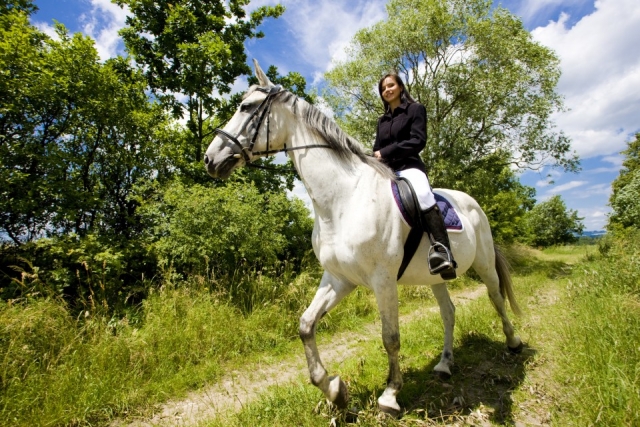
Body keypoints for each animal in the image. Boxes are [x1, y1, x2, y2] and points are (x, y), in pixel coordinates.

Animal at [204, 60, 522, 416]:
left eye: (246, 107)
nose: (210, 159)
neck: (343, 200)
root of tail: (472, 202)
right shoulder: (339, 278)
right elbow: (306, 325)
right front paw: (335, 390)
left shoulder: (383, 280)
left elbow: (390, 337)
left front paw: (390, 394)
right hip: (437, 276)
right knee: (449, 312)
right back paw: (443, 364)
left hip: (484, 265)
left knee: (496, 298)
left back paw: (513, 343)